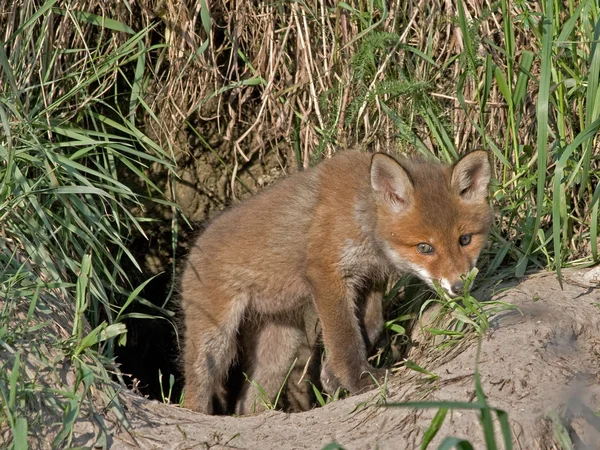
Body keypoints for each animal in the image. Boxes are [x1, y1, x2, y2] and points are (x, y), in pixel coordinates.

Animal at [182, 150, 492, 414]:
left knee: (248, 403)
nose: (459, 286)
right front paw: (360, 380)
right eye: (425, 248)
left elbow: (369, 327)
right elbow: (344, 337)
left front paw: (331, 377)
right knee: (195, 388)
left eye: (465, 240)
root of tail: (194, 247)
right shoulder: (326, 274)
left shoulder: (369, 278)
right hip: (216, 340)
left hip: (279, 348)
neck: (362, 218)